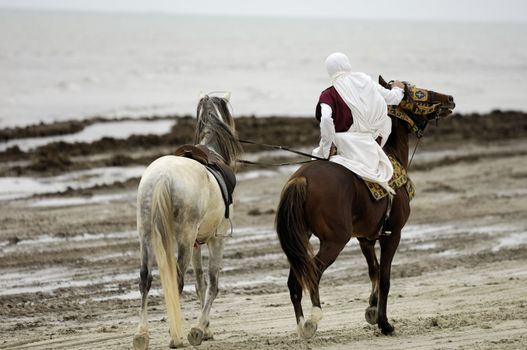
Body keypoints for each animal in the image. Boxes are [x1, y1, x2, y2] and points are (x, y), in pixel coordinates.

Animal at [134, 94, 245, 348]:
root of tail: (163, 177)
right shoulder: (216, 239)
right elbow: (212, 283)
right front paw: (198, 328)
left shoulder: (196, 242)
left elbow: (200, 282)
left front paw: (206, 329)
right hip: (184, 238)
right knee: (177, 279)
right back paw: (177, 336)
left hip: (146, 235)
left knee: (145, 278)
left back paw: (142, 335)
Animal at [276, 77, 454, 340]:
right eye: (415, 91)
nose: (449, 99)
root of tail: (302, 178)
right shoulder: (392, 234)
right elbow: (386, 277)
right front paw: (384, 323)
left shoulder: (365, 238)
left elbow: (374, 271)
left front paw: (371, 308)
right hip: (334, 240)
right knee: (313, 272)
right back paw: (314, 317)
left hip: (302, 237)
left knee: (296, 279)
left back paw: (302, 325)